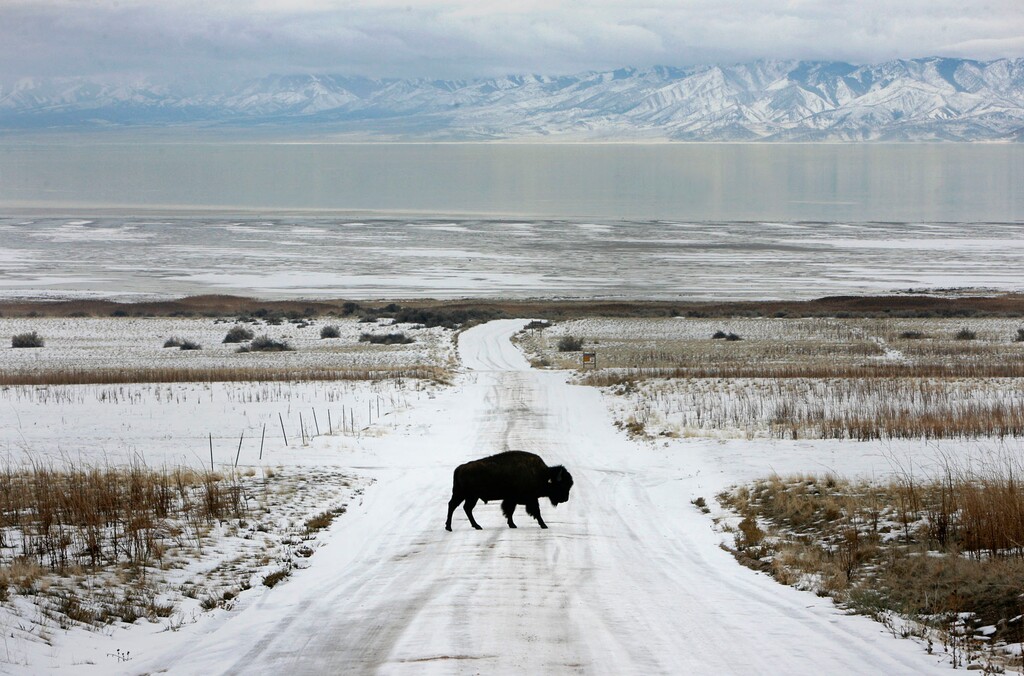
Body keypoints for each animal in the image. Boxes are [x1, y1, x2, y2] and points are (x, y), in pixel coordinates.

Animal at [445, 450, 573, 531]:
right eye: (562, 485)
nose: (565, 499)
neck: (542, 475)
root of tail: (460, 468)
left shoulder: (512, 500)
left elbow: (510, 511)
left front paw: (512, 524)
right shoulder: (530, 499)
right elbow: (536, 512)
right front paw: (544, 525)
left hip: (467, 496)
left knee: (463, 507)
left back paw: (474, 526)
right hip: (466, 495)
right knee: (456, 506)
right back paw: (451, 527)